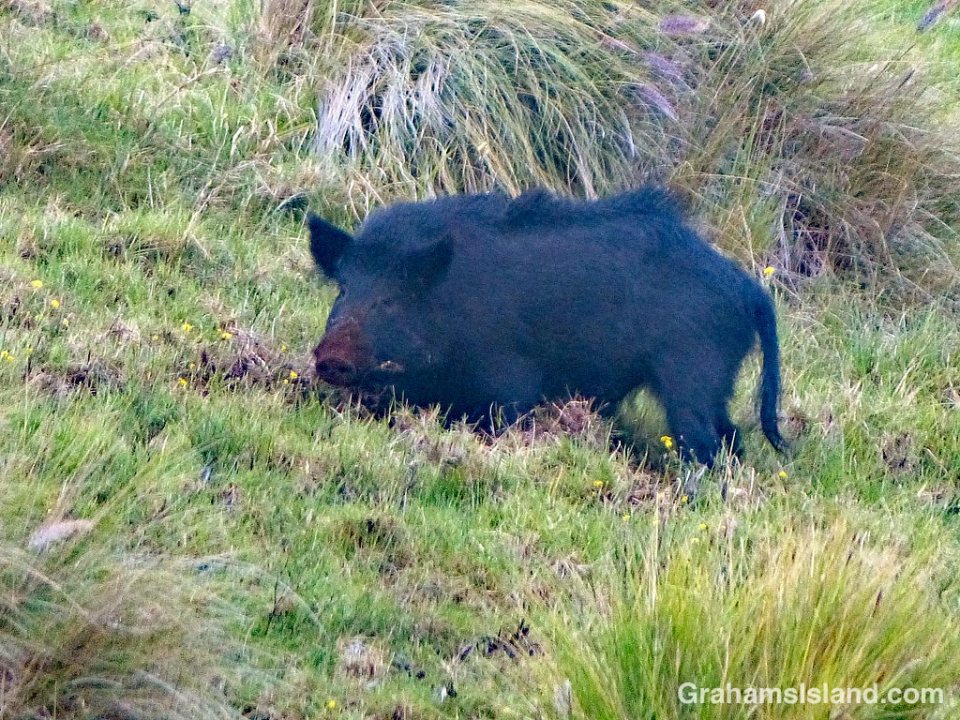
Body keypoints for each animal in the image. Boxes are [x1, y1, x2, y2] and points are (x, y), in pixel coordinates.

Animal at [308, 188, 787, 466]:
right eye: (344, 288)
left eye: (391, 298)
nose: (330, 357)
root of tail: (750, 290)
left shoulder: (510, 382)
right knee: (731, 436)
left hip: (692, 372)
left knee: (705, 441)